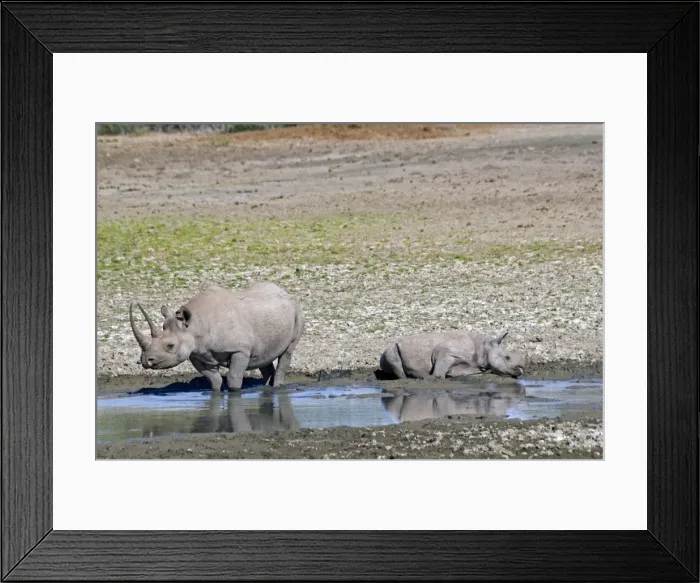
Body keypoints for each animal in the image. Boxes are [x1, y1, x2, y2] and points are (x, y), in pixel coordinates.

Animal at [129, 282, 304, 391]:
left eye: (170, 346)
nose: (146, 361)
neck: (195, 325)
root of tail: (284, 291)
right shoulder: (198, 353)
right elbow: (214, 380)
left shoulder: (240, 349)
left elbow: (233, 377)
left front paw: (234, 391)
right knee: (264, 356)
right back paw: (267, 388)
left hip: (296, 311)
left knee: (287, 352)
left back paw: (277, 387)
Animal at [379, 331, 525, 380]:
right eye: (507, 357)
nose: (521, 370)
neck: (484, 347)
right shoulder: (445, 352)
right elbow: (439, 373)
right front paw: (436, 376)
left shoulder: (471, 364)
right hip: (389, 349)